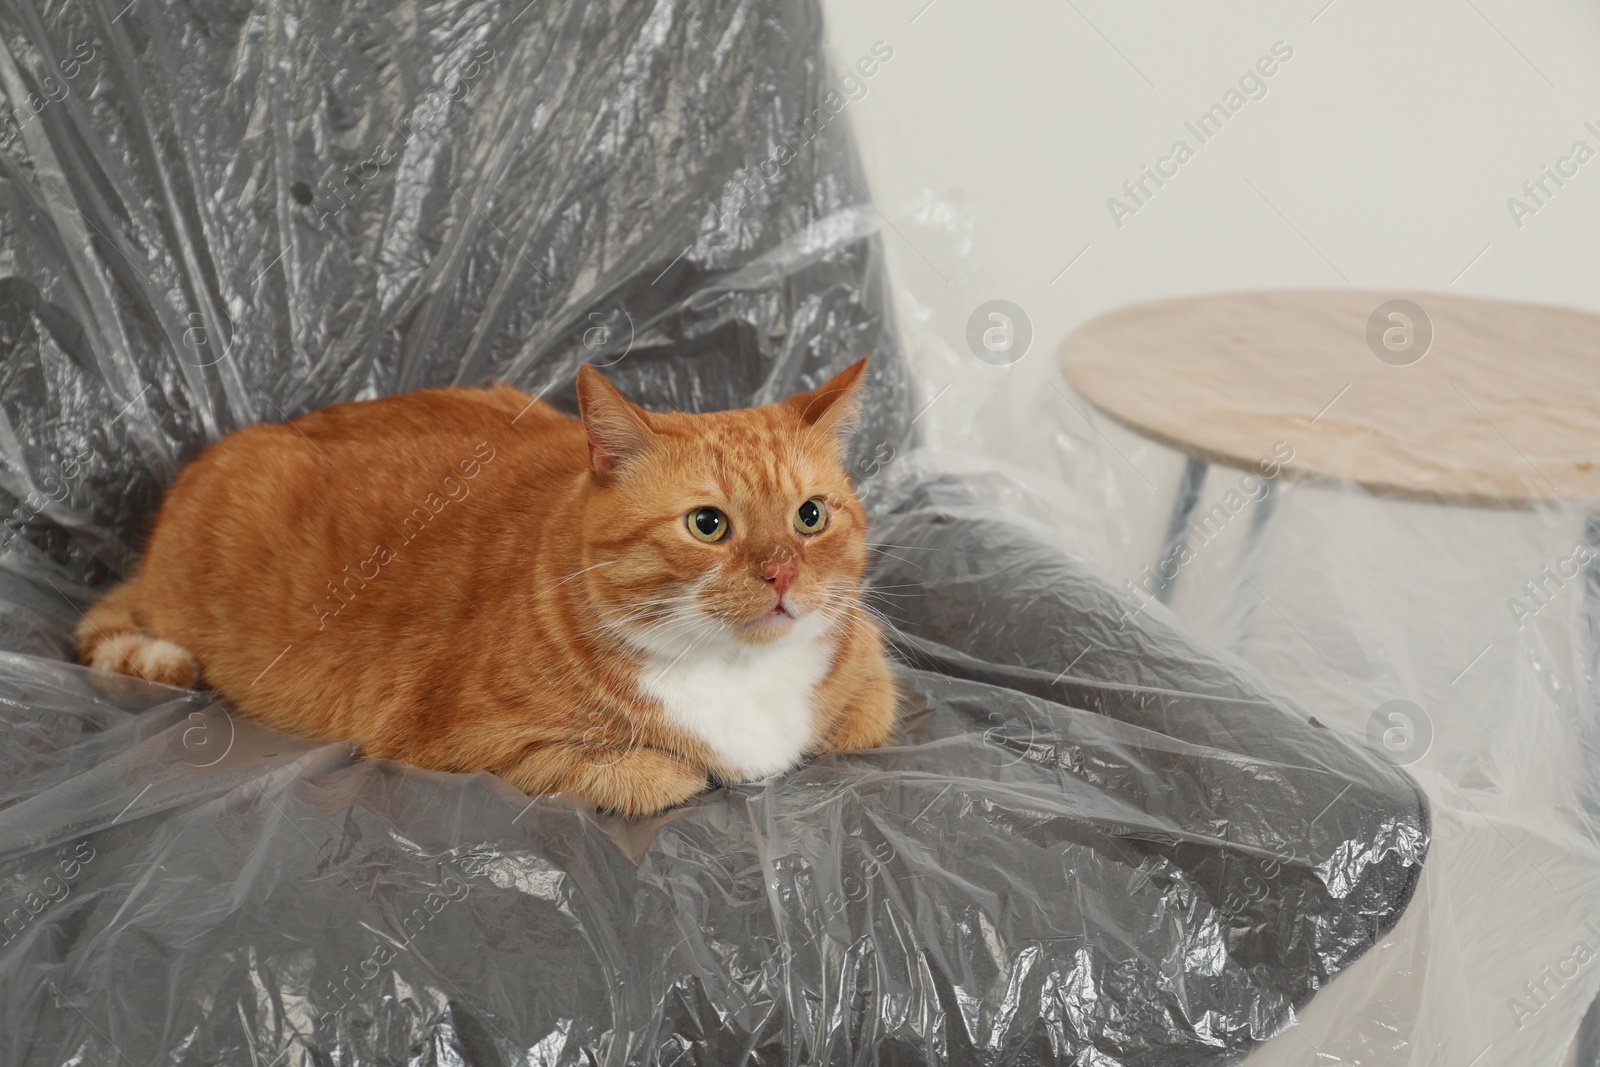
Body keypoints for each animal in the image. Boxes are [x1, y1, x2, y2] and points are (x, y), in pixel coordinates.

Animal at [78, 363, 902, 812]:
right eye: (708, 524)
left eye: (810, 516)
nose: (782, 573)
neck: (737, 672)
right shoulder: (468, 746)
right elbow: (656, 777)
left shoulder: (870, 686)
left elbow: (862, 719)